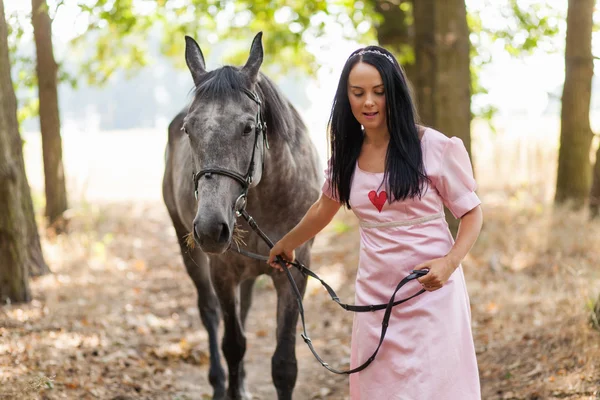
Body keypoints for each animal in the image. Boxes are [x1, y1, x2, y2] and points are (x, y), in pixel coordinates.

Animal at [161, 32, 324, 400]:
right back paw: (219, 383)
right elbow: (233, 345)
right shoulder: (223, 270)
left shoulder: (294, 271)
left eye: (249, 128)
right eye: (189, 130)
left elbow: (284, 363)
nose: (210, 229)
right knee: (210, 314)